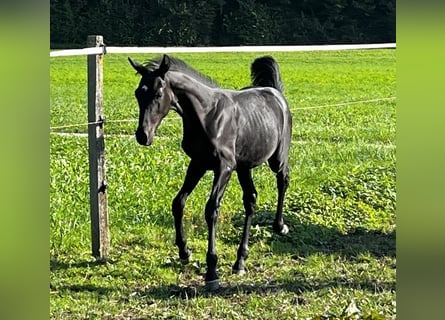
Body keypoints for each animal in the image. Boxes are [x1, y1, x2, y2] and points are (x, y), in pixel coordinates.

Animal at [127, 54, 292, 290]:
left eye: (158, 94)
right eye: (138, 93)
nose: (143, 135)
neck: (208, 116)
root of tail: (276, 92)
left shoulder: (224, 167)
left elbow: (211, 209)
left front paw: (212, 272)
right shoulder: (198, 163)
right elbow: (178, 202)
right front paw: (184, 252)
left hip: (275, 158)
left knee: (283, 179)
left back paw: (279, 226)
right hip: (244, 167)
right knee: (250, 200)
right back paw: (240, 261)